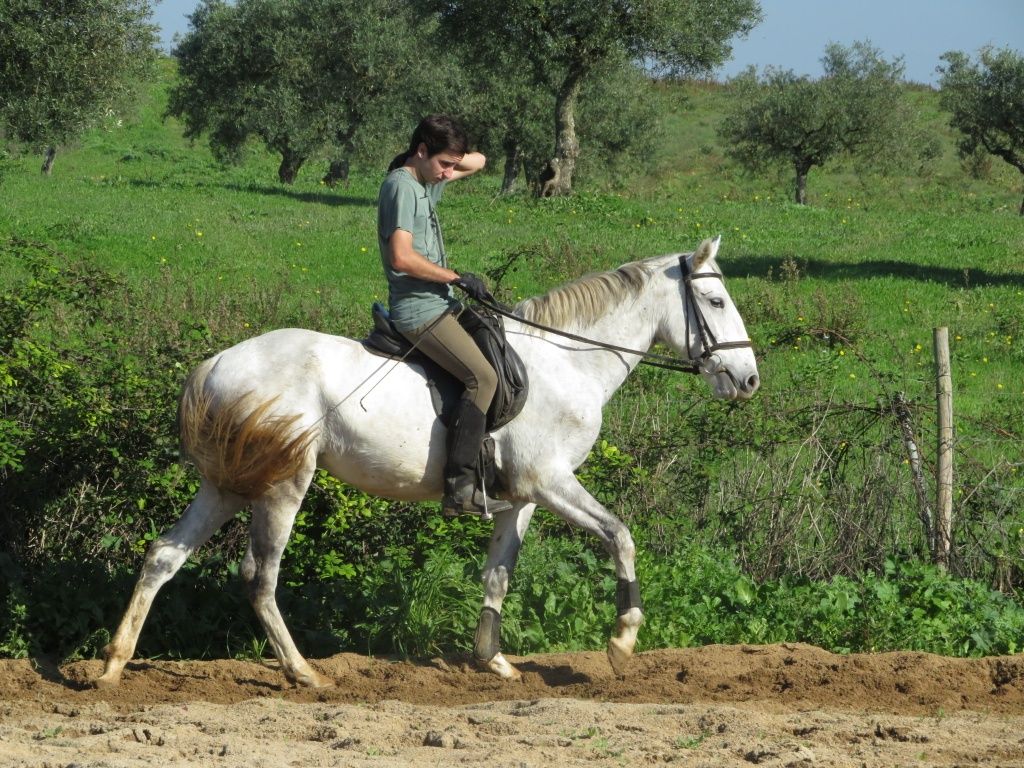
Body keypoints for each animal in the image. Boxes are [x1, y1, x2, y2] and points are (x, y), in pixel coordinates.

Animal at [96, 236, 757, 692]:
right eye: (716, 300)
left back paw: (112, 667)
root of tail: (214, 364)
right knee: (259, 575)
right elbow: (620, 535)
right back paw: (305, 673)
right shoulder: (551, 482)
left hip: (227, 483)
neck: (567, 363)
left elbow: (497, 574)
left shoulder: (521, 498)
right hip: (284, 483)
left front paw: (494, 662)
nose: (748, 380)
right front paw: (622, 642)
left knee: (164, 555)